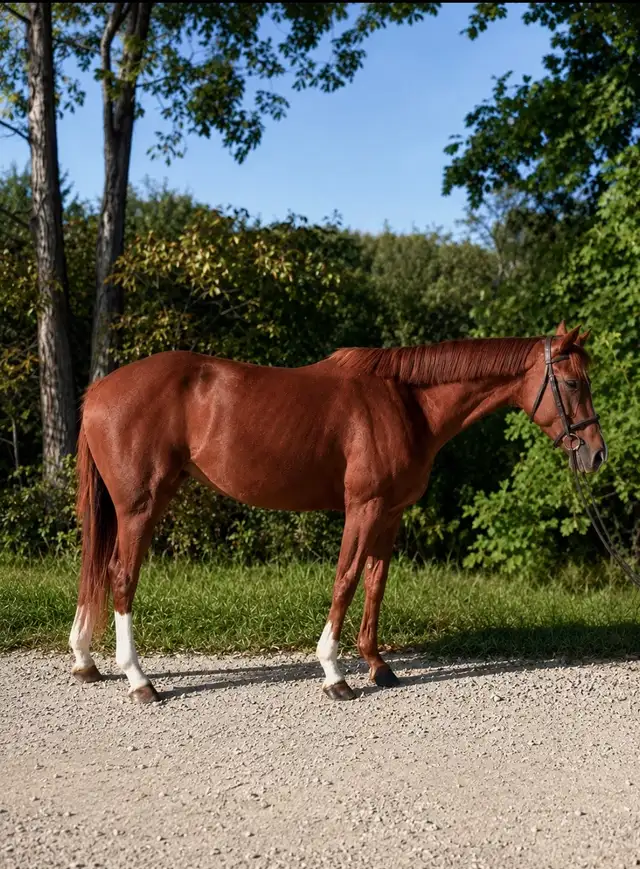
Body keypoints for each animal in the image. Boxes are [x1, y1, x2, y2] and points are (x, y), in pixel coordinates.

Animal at [69, 322, 606, 703]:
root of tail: (97, 393)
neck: (405, 403)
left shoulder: (390, 513)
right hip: (140, 505)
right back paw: (139, 681)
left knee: (94, 571)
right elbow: (346, 579)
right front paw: (334, 672)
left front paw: (378, 665)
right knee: (121, 576)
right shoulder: (363, 508)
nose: (596, 454)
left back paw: (85, 661)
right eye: (572, 382)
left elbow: (375, 582)